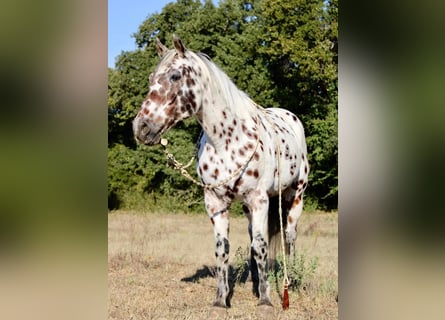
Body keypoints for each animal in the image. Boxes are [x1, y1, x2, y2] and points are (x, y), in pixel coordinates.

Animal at [133, 35, 308, 316]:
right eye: (151, 78)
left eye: (175, 76)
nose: (141, 128)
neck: (227, 140)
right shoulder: (215, 203)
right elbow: (222, 248)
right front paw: (220, 300)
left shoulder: (260, 199)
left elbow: (262, 246)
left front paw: (265, 301)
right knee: (253, 237)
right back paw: (256, 281)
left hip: (295, 195)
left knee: (289, 236)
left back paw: (291, 280)